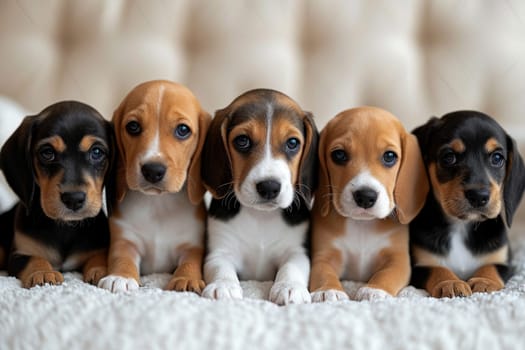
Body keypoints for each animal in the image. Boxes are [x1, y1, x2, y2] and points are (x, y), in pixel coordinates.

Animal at [0, 100, 113, 288]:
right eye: (47, 153)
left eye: (97, 152)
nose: (73, 199)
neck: (65, 227)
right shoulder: (19, 254)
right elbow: (34, 259)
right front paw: (43, 273)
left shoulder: (99, 247)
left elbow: (101, 256)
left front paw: (103, 271)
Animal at [98, 80, 209, 294]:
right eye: (133, 126)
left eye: (183, 130)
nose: (152, 170)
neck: (158, 205)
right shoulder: (124, 240)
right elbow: (122, 258)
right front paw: (120, 277)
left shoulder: (192, 245)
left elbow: (191, 262)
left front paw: (186, 279)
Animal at [201, 89, 318, 304]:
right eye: (242, 141)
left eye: (292, 143)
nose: (269, 187)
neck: (261, 216)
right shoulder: (220, 250)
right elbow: (221, 268)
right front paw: (224, 285)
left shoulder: (297, 251)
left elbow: (292, 268)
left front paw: (289, 287)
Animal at [310, 106, 428, 300]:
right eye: (339, 155)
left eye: (389, 156)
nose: (365, 196)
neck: (362, 225)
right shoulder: (323, 255)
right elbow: (323, 273)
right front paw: (328, 290)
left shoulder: (398, 259)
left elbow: (387, 274)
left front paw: (374, 290)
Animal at [410, 111, 524, 298]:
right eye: (449, 157)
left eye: (497, 158)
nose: (478, 196)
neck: (461, 226)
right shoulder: (417, 266)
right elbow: (437, 269)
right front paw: (450, 283)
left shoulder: (505, 263)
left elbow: (491, 267)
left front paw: (485, 281)